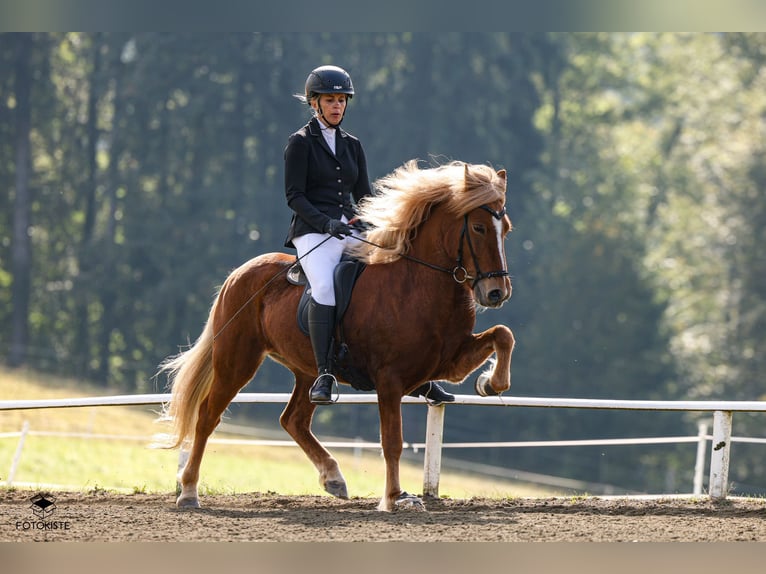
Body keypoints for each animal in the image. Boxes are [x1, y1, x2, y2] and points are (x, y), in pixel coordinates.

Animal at [155, 159, 515, 512]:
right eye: (479, 228)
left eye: (506, 229)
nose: (496, 293)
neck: (417, 284)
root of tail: (239, 273)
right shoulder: (389, 380)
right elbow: (392, 441)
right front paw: (393, 497)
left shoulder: (449, 362)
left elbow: (503, 334)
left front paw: (489, 383)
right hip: (236, 361)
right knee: (207, 416)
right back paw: (188, 492)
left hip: (307, 371)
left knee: (294, 420)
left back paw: (333, 478)